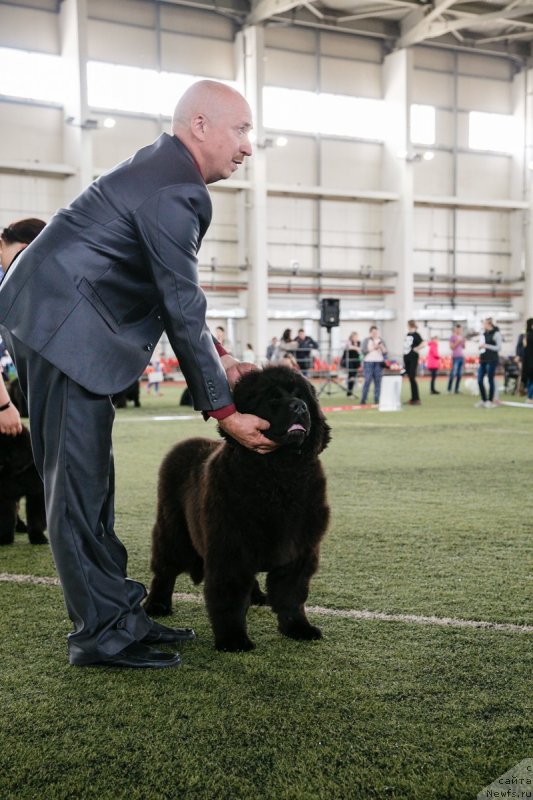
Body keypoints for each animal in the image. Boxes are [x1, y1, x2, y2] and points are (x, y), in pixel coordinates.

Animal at [143, 366, 330, 652]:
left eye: (302, 396)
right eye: (272, 398)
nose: (299, 407)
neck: (279, 473)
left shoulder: (299, 548)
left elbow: (292, 595)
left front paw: (299, 628)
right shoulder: (230, 546)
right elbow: (229, 596)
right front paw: (233, 640)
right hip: (173, 530)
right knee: (164, 569)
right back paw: (157, 604)